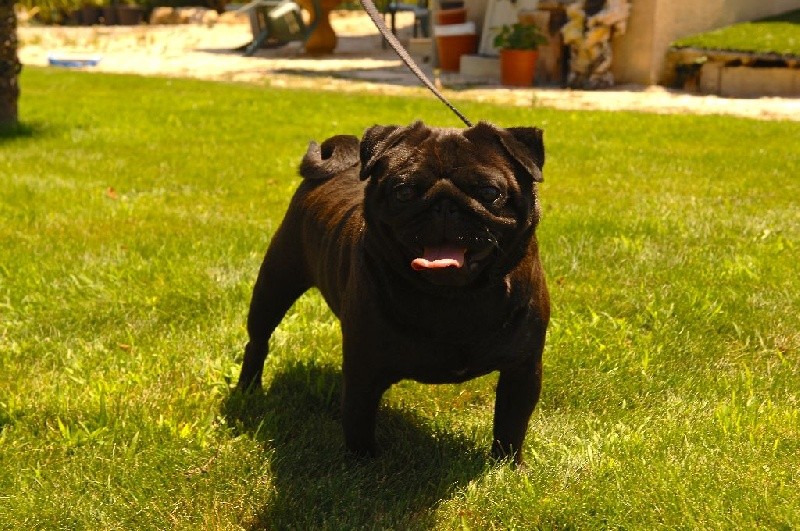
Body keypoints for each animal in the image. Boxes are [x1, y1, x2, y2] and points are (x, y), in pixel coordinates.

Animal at [237, 121, 549, 464]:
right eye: (404, 192)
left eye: (490, 193)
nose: (444, 204)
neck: (453, 299)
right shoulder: (363, 368)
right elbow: (358, 420)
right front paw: (363, 465)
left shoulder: (522, 370)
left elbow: (511, 424)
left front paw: (506, 465)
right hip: (275, 284)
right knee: (258, 341)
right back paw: (248, 389)